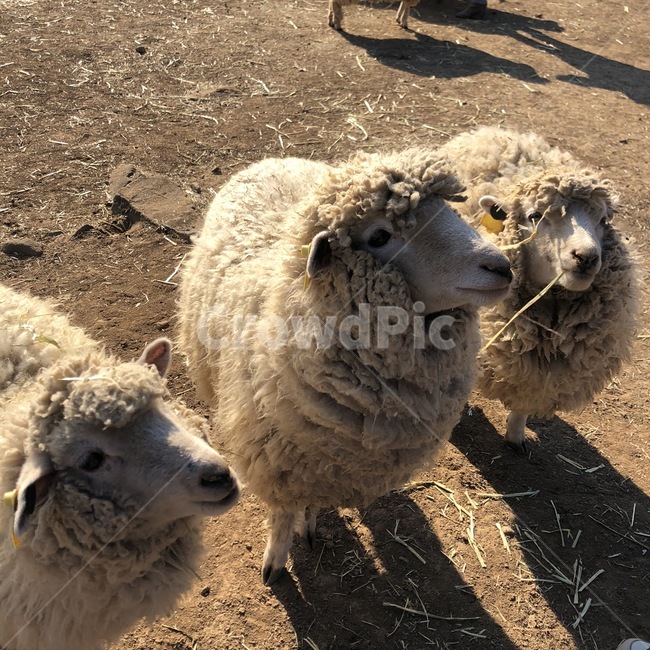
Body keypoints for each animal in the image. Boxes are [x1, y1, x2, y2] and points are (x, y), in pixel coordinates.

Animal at [177, 147, 513, 584]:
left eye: (449, 208)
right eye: (380, 236)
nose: (502, 266)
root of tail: (274, 158)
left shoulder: (330, 463)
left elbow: (313, 503)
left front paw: (309, 524)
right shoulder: (281, 458)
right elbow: (283, 512)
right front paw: (276, 558)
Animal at [437, 126, 640, 449]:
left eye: (603, 219)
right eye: (535, 216)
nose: (586, 257)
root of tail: (496, 131)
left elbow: (525, 398)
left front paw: (516, 435)